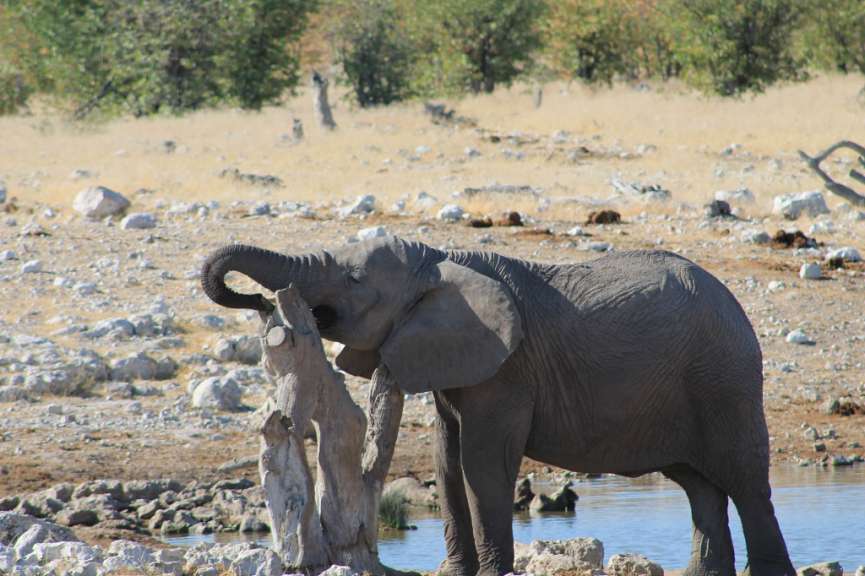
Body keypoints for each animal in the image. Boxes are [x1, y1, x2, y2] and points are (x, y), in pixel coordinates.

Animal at [201, 236, 795, 576]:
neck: (440, 262)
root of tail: (736, 305)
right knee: (700, 488)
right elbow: (446, 461)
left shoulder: (506, 370)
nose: (261, 302)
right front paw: (452, 571)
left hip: (725, 379)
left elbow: (481, 464)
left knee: (745, 482)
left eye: (353, 279)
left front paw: (488, 572)